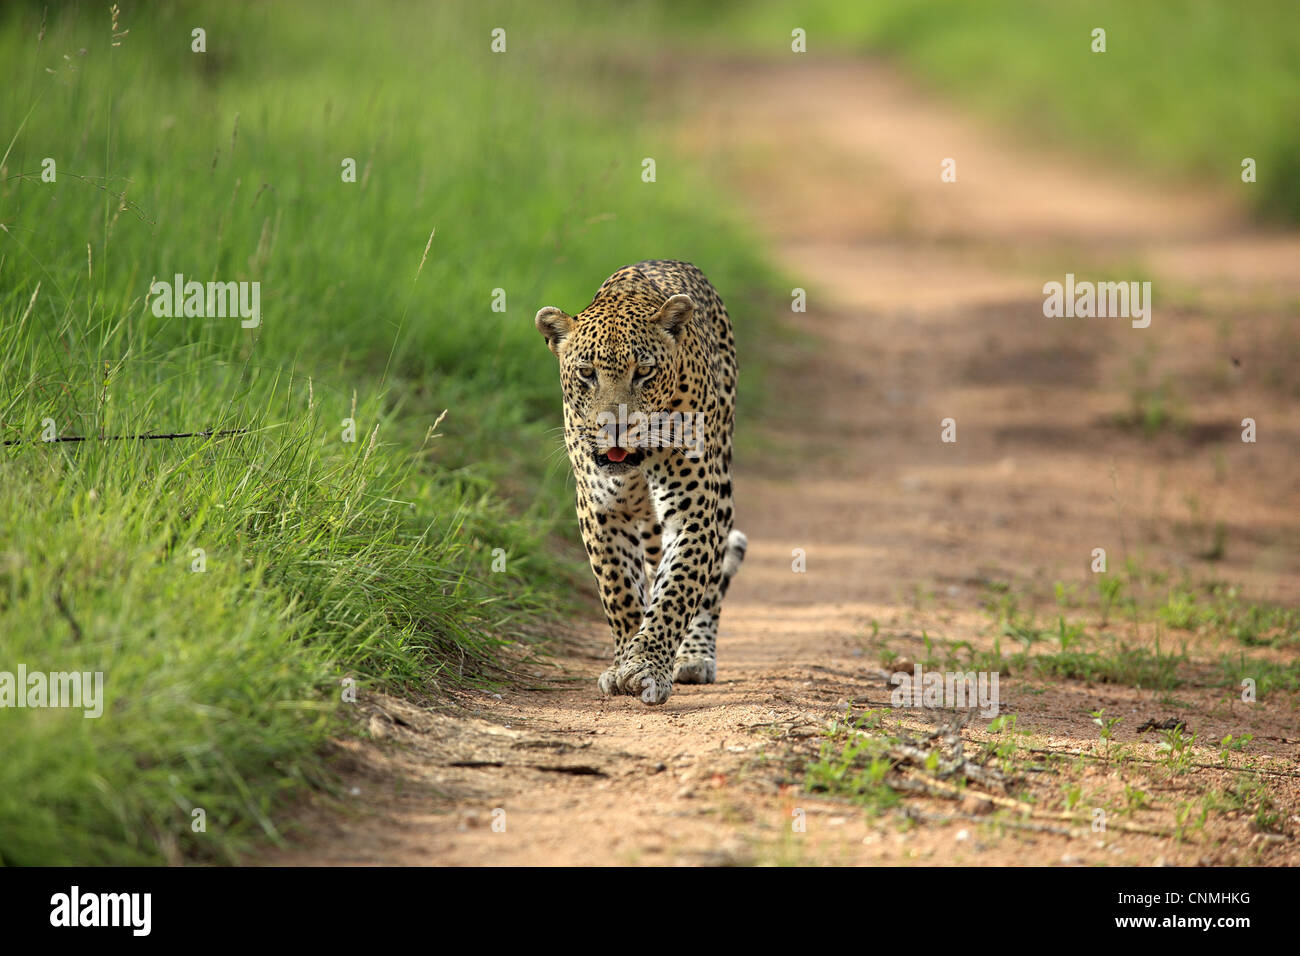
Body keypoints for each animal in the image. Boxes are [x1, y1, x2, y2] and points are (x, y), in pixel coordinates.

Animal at [534, 259, 746, 706]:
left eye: (644, 372)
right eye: (587, 373)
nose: (614, 427)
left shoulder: (692, 512)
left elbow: (677, 589)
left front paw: (647, 666)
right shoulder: (600, 512)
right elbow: (620, 592)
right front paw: (623, 663)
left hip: (721, 488)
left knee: (710, 584)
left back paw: (694, 656)